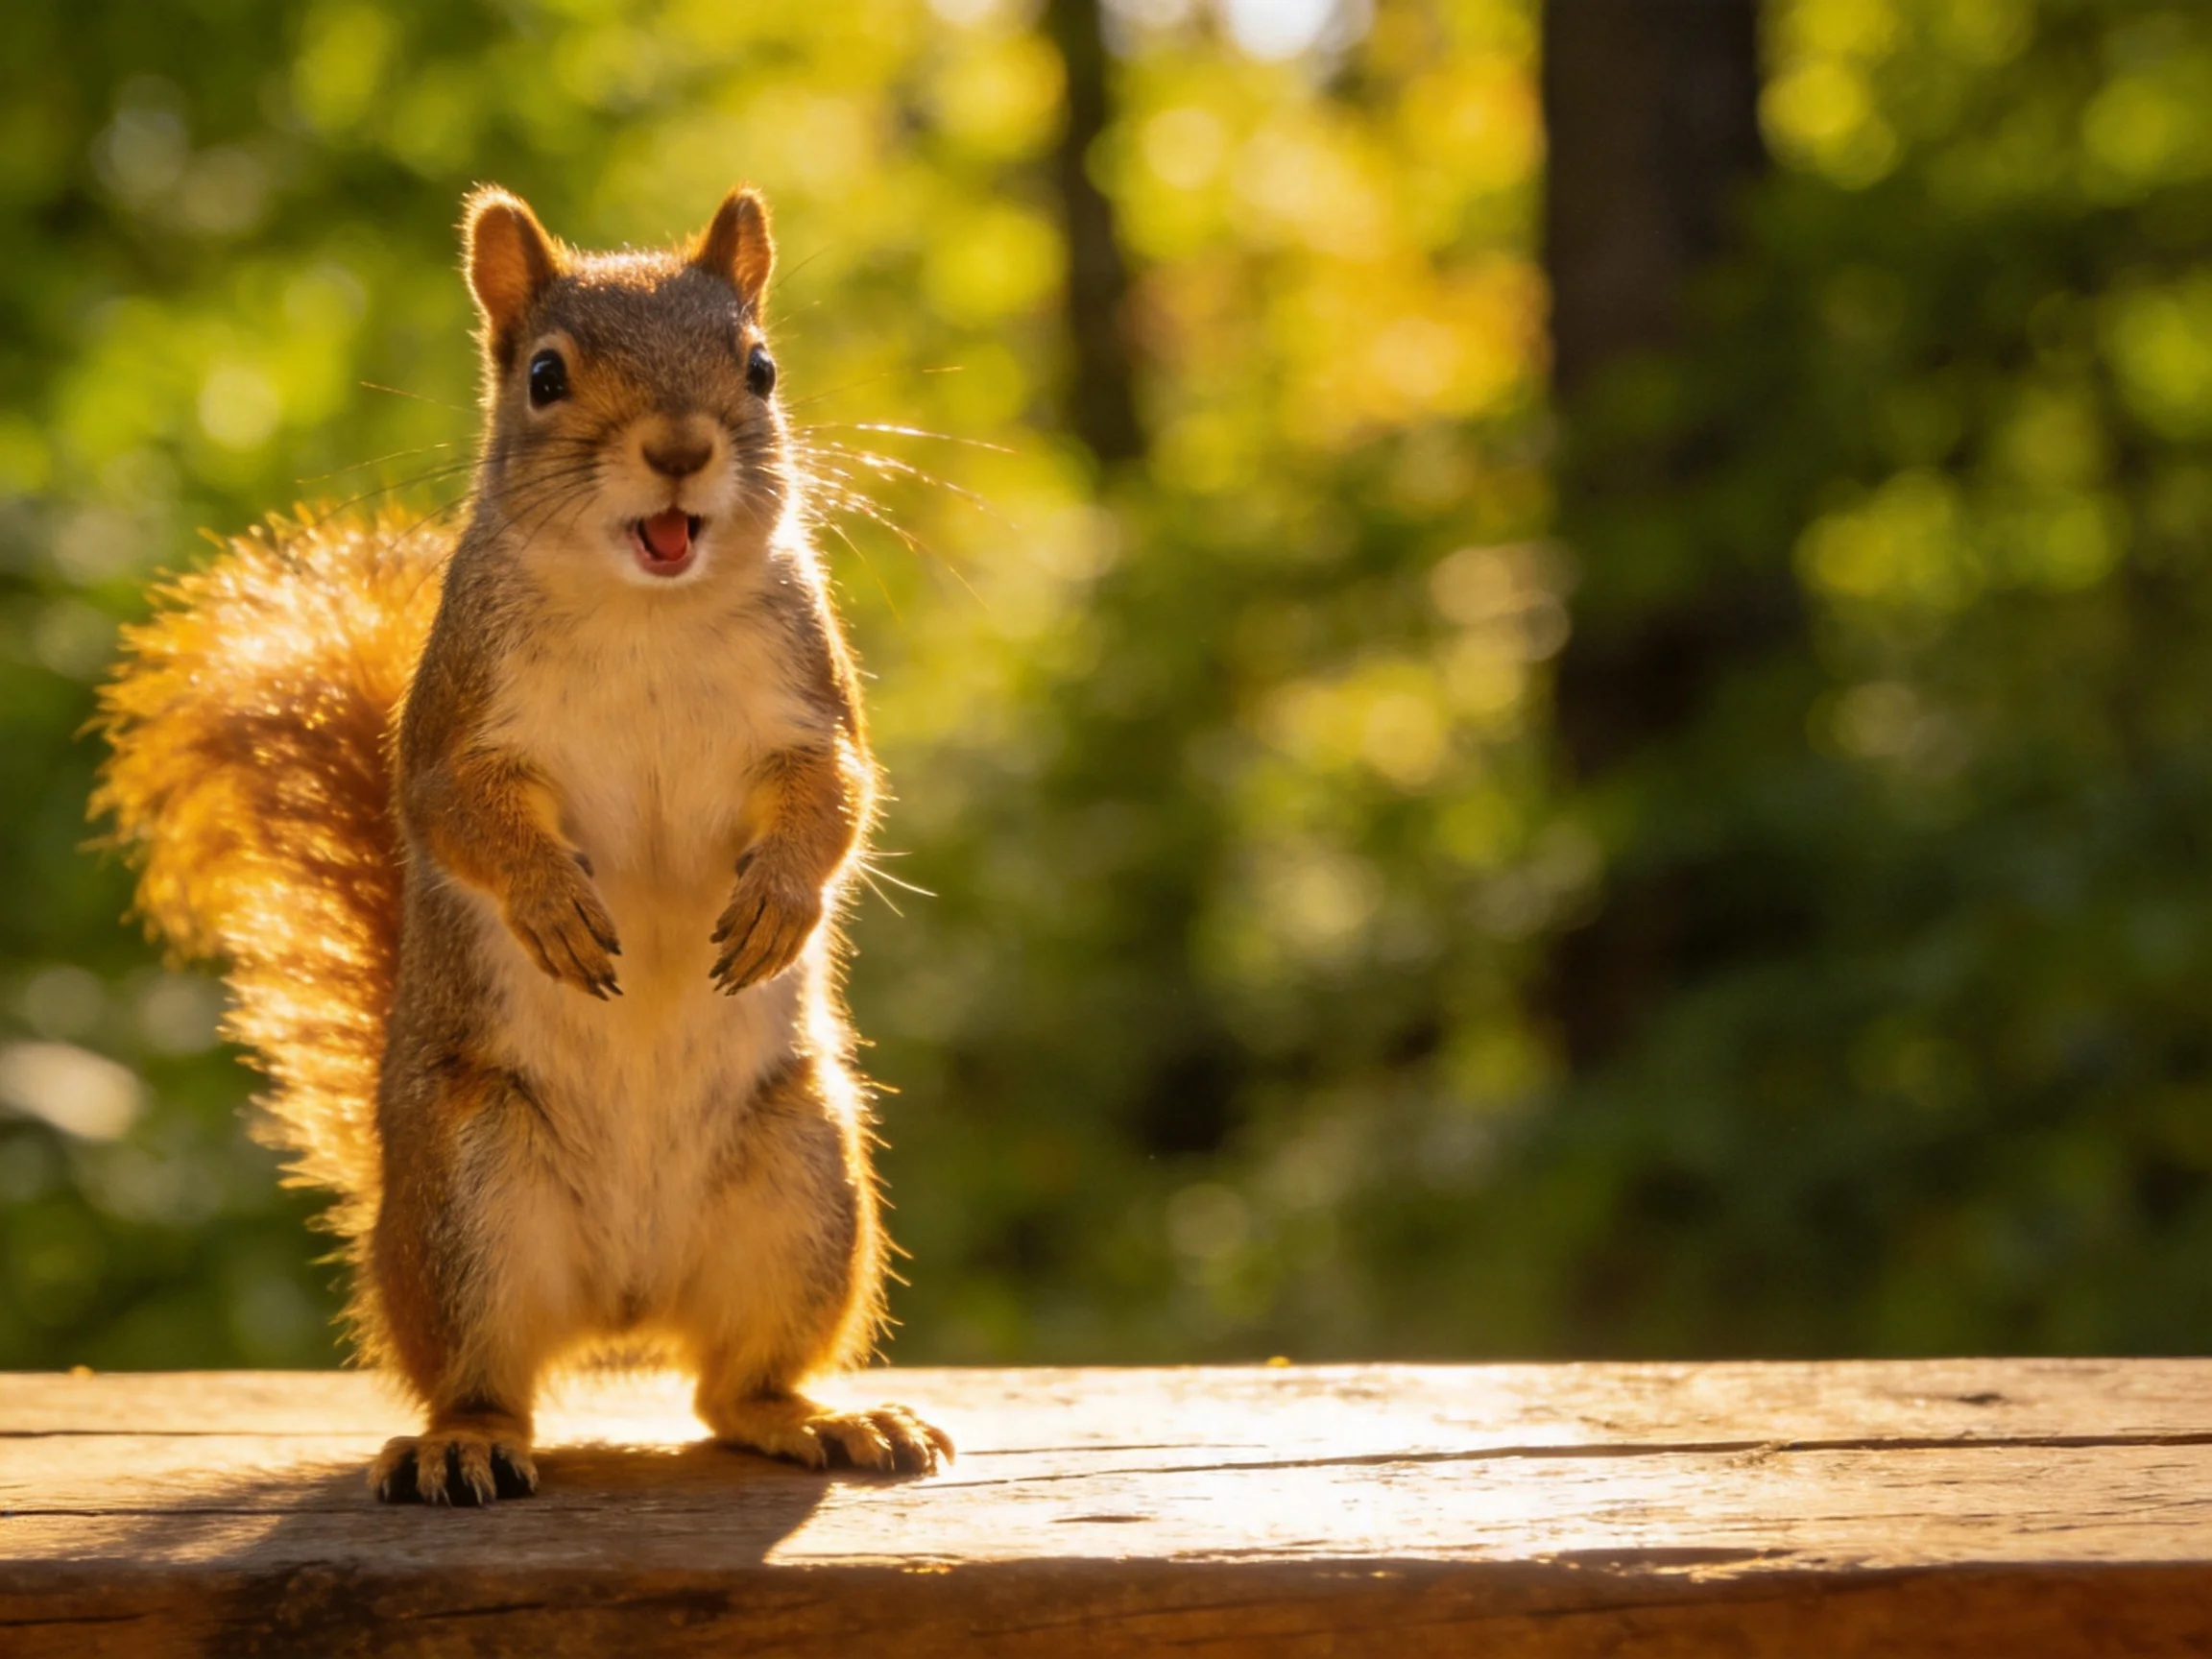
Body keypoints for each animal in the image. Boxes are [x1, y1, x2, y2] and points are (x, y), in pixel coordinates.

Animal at [90, 183, 952, 1504]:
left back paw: (823, 1417)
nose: (679, 448)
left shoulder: (812, 706)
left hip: (805, 1184)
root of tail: (624, 1309)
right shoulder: (456, 726)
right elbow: (461, 814)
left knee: (730, 1387)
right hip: (469, 1199)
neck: (650, 607)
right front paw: (550, 902)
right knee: (486, 1377)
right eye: (546, 375)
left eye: (758, 366)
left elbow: (841, 797)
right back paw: (464, 1444)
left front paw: (779, 900)